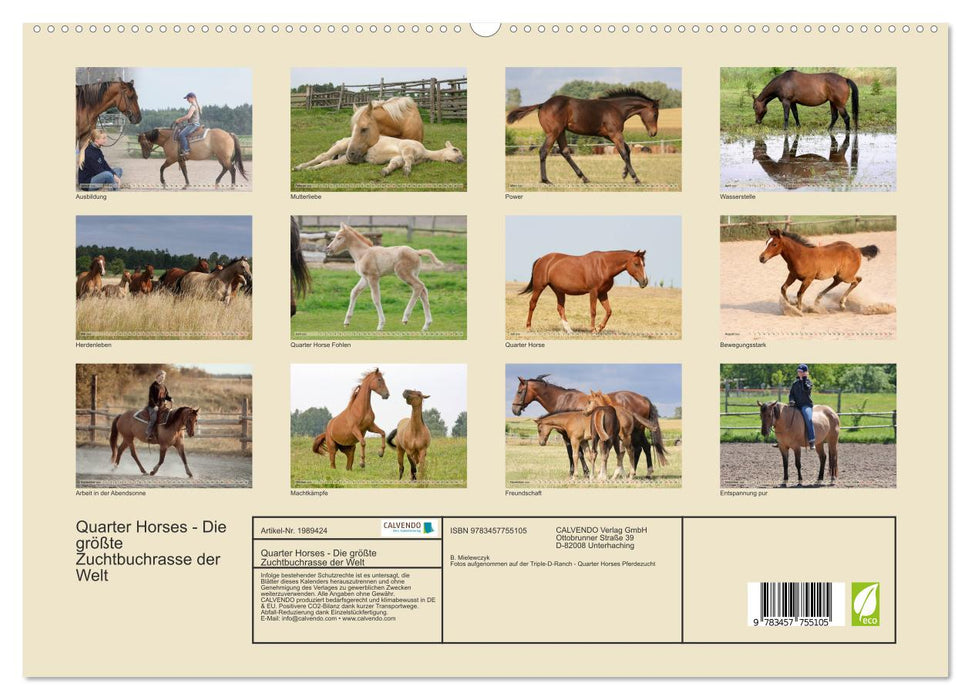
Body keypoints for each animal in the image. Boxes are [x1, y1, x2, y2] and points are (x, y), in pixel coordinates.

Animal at [506, 88, 659, 185]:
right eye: (655, 114)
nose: (653, 133)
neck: (616, 108)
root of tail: (542, 104)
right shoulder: (615, 133)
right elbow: (624, 153)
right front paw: (636, 178)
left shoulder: (608, 135)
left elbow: (627, 149)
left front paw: (624, 174)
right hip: (553, 132)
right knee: (544, 151)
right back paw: (546, 180)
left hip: (561, 132)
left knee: (565, 152)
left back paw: (584, 178)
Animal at [511, 375, 668, 477]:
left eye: (519, 391)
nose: (514, 410)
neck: (562, 399)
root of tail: (644, 398)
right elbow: (583, 453)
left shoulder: (568, 437)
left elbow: (574, 454)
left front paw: (579, 473)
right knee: (642, 448)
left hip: (636, 431)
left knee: (642, 448)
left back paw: (642, 473)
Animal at [519, 249, 648, 334]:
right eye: (636, 264)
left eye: (644, 264)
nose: (645, 282)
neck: (603, 266)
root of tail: (542, 259)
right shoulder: (593, 292)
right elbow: (593, 311)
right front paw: (593, 329)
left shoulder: (603, 293)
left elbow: (609, 311)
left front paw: (599, 328)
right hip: (539, 287)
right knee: (532, 304)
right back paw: (528, 327)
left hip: (559, 291)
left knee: (560, 308)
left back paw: (569, 330)